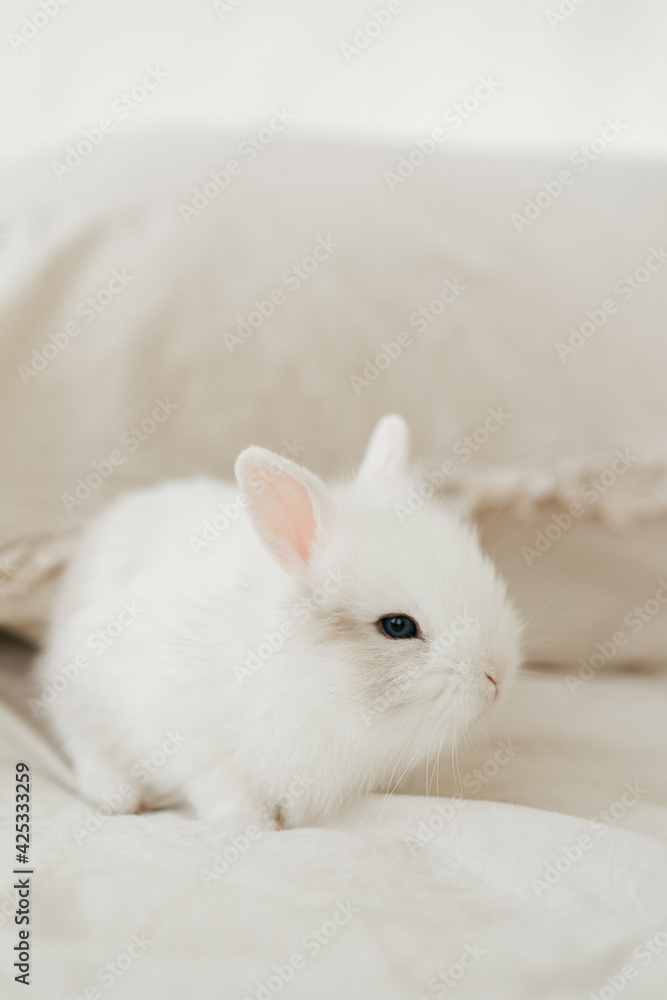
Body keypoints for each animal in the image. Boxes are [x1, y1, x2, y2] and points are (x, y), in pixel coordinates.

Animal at [36, 414, 522, 828]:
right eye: (398, 626)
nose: (497, 676)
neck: (308, 675)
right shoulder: (203, 749)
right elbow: (223, 791)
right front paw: (251, 826)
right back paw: (121, 798)